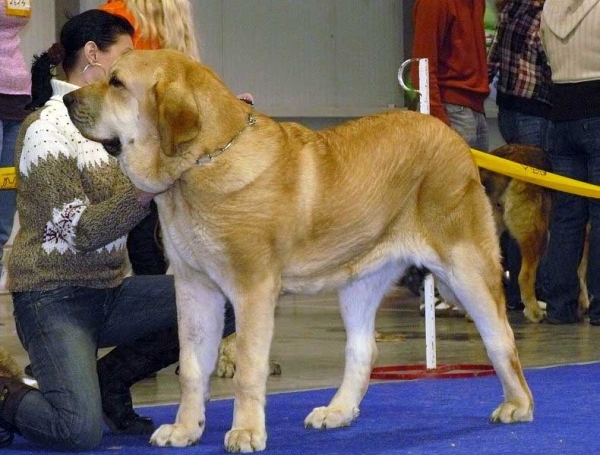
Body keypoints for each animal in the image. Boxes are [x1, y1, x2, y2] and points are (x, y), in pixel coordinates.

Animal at [65, 49, 536, 452]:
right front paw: (184, 429)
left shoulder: (252, 290)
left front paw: (246, 432)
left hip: (466, 267)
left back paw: (517, 405)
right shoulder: (194, 289)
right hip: (360, 281)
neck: (201, 162)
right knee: (363, 349)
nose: (68, 97)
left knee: (501, 338)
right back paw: (338, 411)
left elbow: (248, 368)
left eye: (116, 83)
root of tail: (450, 136)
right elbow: (193, 365)